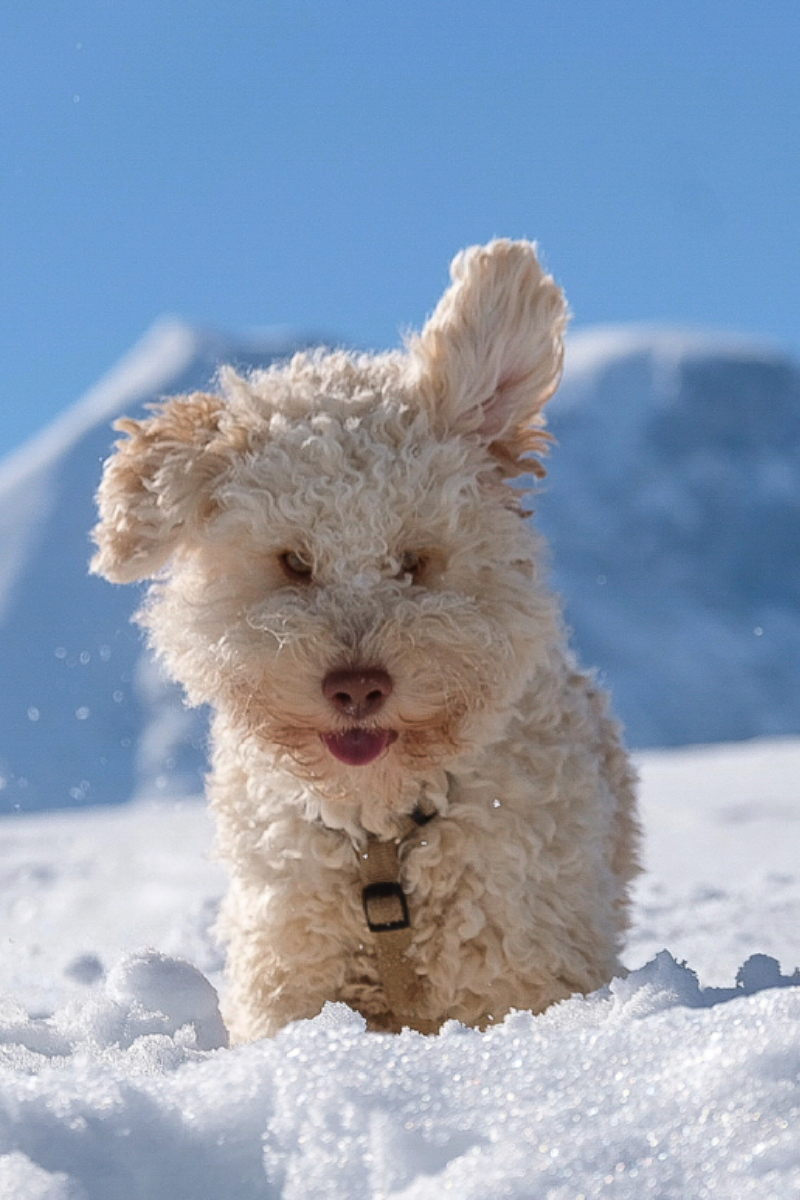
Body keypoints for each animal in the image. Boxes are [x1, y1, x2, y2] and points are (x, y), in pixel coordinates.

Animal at [89, 241, 638, 1041]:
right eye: (294, 561)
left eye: (413, 560)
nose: (356, 688)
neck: (382, 836)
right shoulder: (292, 965)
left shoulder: (516, 962)